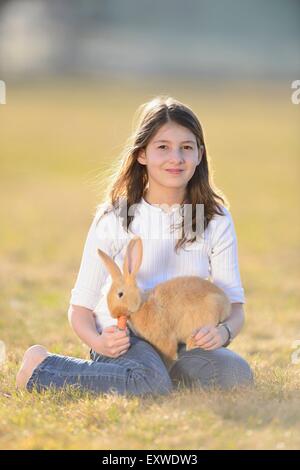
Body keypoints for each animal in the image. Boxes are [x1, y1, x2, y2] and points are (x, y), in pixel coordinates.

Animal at [96, 235, 230, 368]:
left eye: (120, 294)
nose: (113, 314)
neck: (141, 305)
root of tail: (226, 303)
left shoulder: (164, 339)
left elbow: (169, 354)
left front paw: (169, 366)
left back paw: (192, 344)